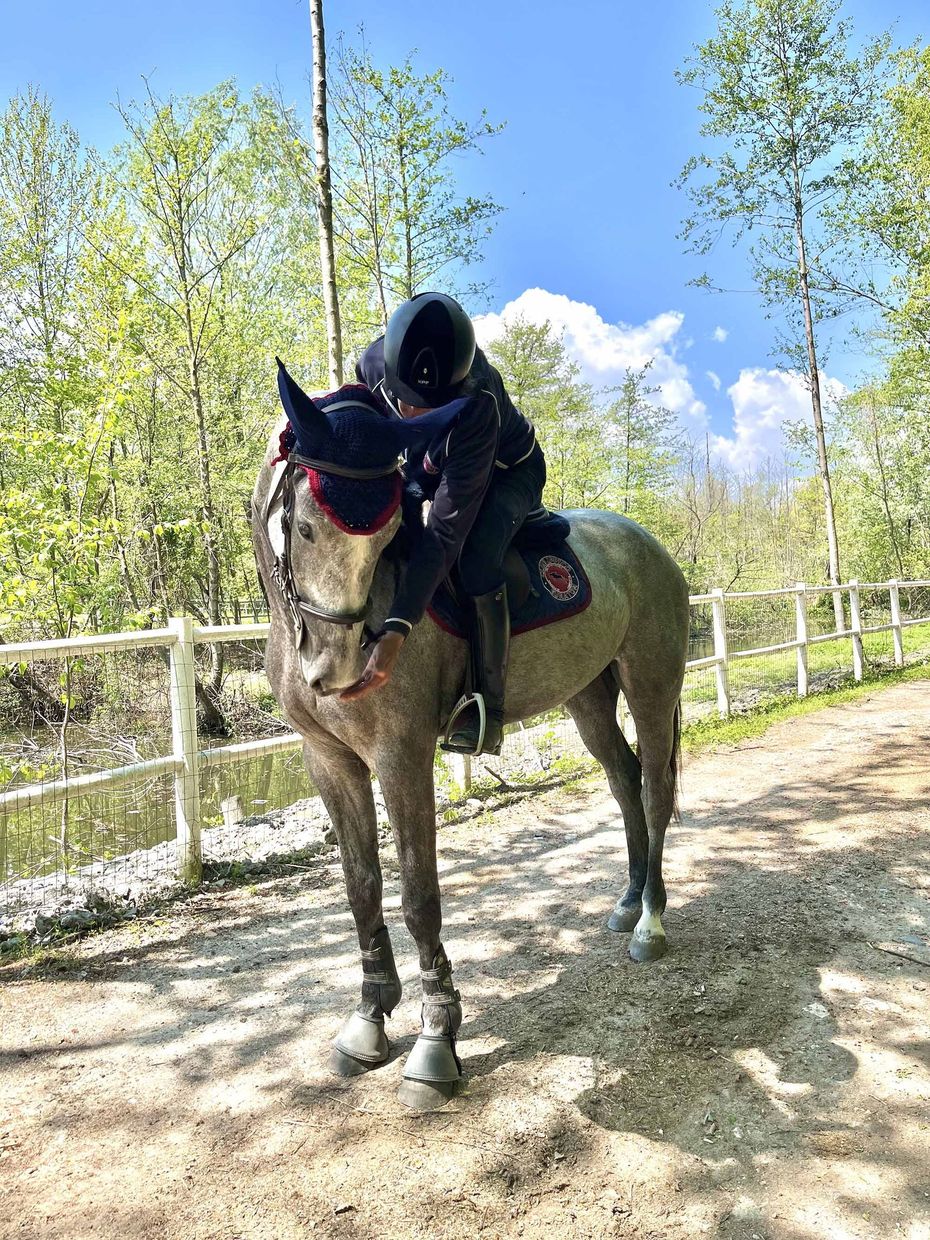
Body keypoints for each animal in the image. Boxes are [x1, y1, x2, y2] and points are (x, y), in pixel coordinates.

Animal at [252, 364, 690, 1111]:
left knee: (656, 792)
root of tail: (650, 546)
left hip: (652, 685)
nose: (339, 672)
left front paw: (435, 1043)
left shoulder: (401, 758)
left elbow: (418, 896)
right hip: (589, 698)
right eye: (304, 527)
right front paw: (369, 1019)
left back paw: (650, 925)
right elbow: (361, 889)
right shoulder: (329, 761)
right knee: (625, 783)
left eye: (389, 538)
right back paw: (629, 900)